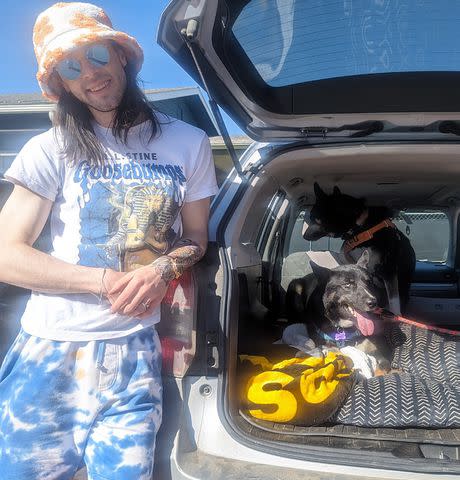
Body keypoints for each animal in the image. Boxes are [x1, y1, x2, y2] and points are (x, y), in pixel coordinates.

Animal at [302, 182, 416, 314]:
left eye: (315, 219)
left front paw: (396, 315)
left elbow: (394, 300)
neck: (360, 230)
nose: (304, 236)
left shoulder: (389, 271)